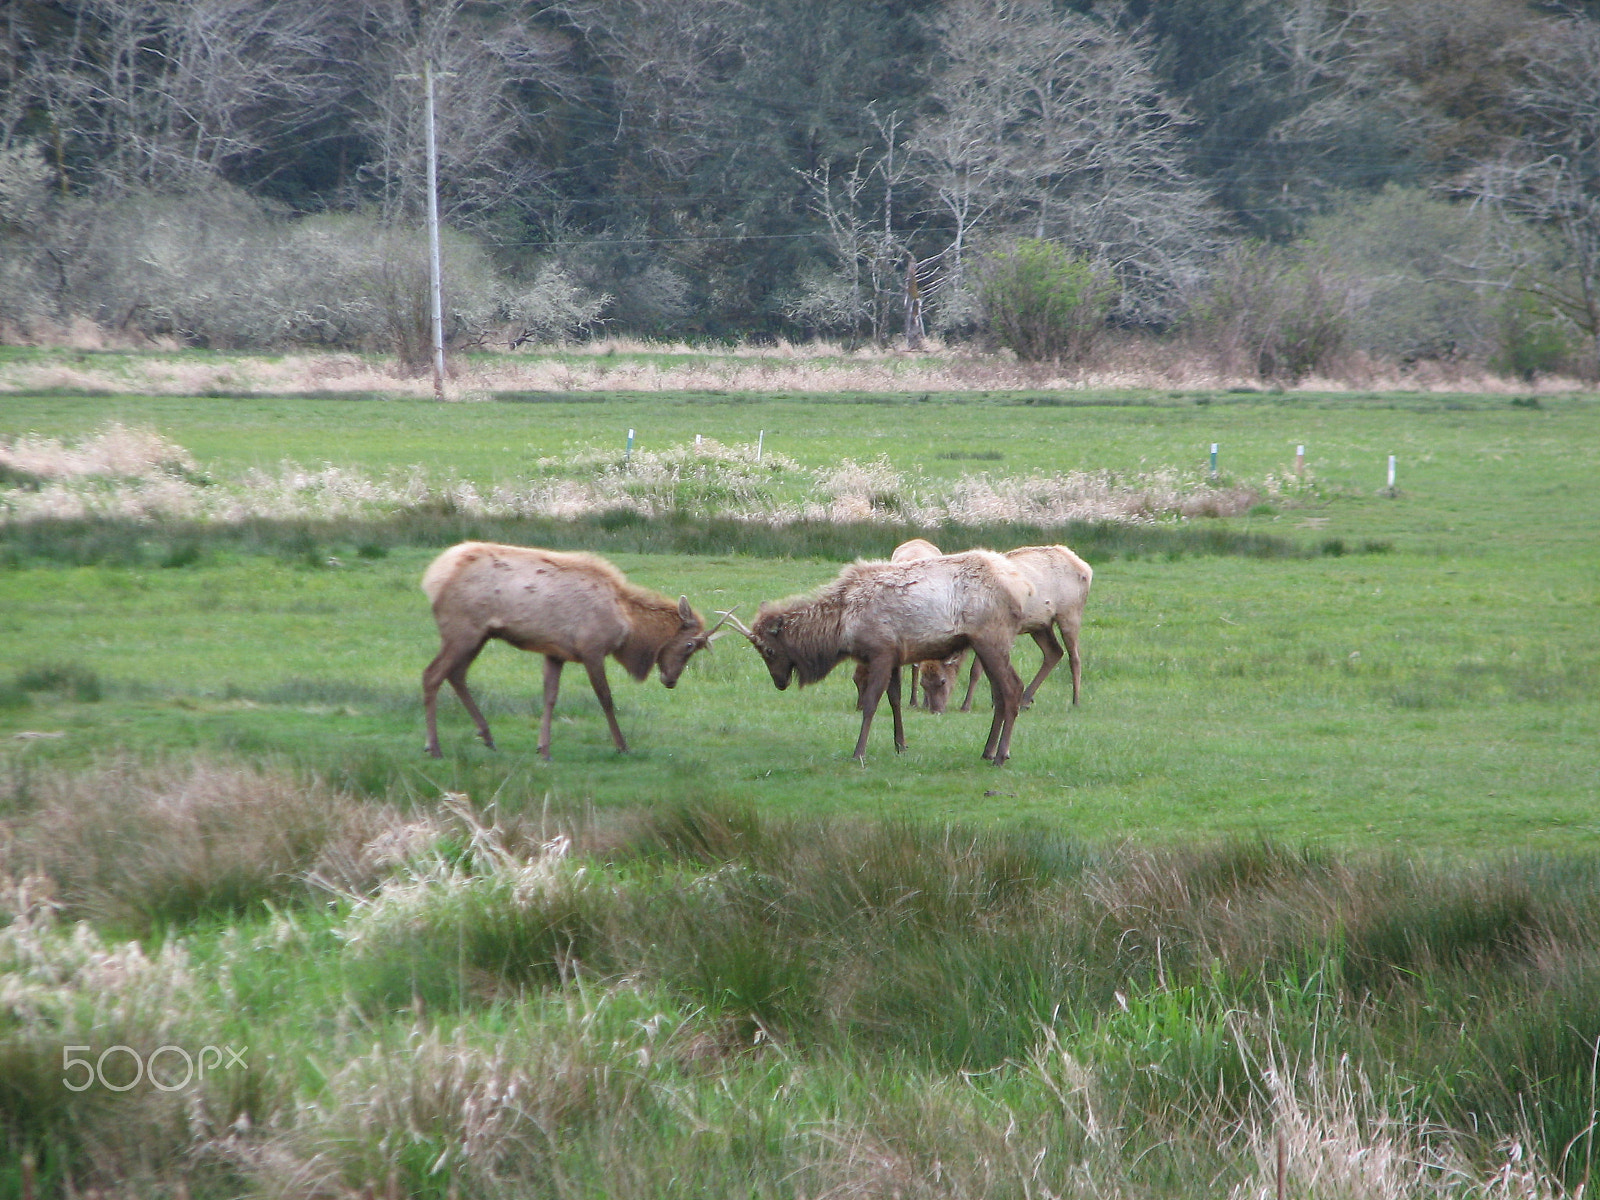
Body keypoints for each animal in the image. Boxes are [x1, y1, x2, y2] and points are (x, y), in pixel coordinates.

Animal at [422, 544, 729, 761]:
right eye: (689, 645)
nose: (671, 680)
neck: (628, 627)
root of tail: (431, 578)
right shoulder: (592, 649)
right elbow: (606, 699)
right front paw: (622, 745)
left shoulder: (555, 652)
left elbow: (550, 697)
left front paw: (544, 749)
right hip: (463, 630)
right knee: (432, 675)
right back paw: (434, 747)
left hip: (479, 635)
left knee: (457, 674)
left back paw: (486, 735)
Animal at [729, 553, 1036, 771]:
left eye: (769, 650)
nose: (779, 682)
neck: (841, 628)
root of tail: (1024, 587)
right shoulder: (895, 657)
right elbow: (895, 699)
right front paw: (900, 745)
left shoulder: (881, 651)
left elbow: (870, 703)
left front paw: (858, 752)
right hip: (985, 645)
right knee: (1000, 693)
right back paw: (989, 751)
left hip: (991, 638)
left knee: (1012, 688)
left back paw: (1000, 756)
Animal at [953, 544, 1094, 713]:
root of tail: (1087, 569)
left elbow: (976, 669)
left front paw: (966, 705)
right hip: (1040, 624)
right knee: (1054, 651)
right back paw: (1026, 699)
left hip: (1069, 613)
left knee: (1074, 657)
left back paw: (1076, 700)